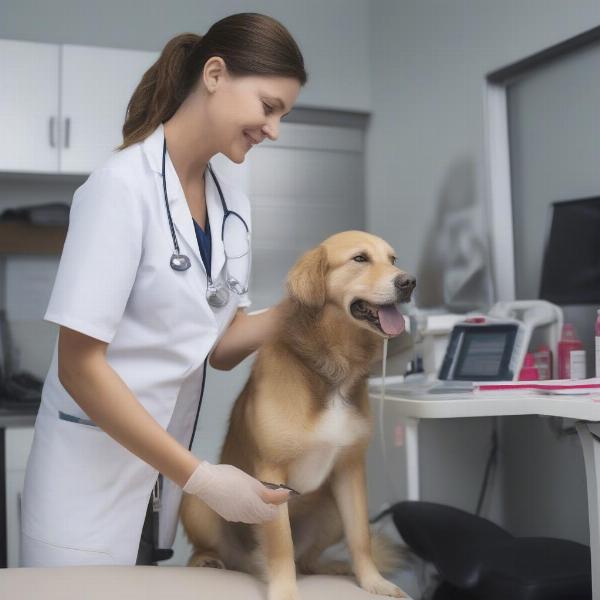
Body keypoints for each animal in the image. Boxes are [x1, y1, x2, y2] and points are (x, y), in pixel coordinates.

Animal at [182, 231, 418, 600]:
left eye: (393, 260)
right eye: (360, 259)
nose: (409, 282)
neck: (333, 368)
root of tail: (246, 563)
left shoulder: (350, 470)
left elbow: (360, 538)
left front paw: (373, 582)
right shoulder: (271, 475)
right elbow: (281, 546)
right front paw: (285, 592)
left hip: (331, 511)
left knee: (307, 558)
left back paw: (331, 567)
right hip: (199, 499)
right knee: (211, 549)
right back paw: (208, 561)